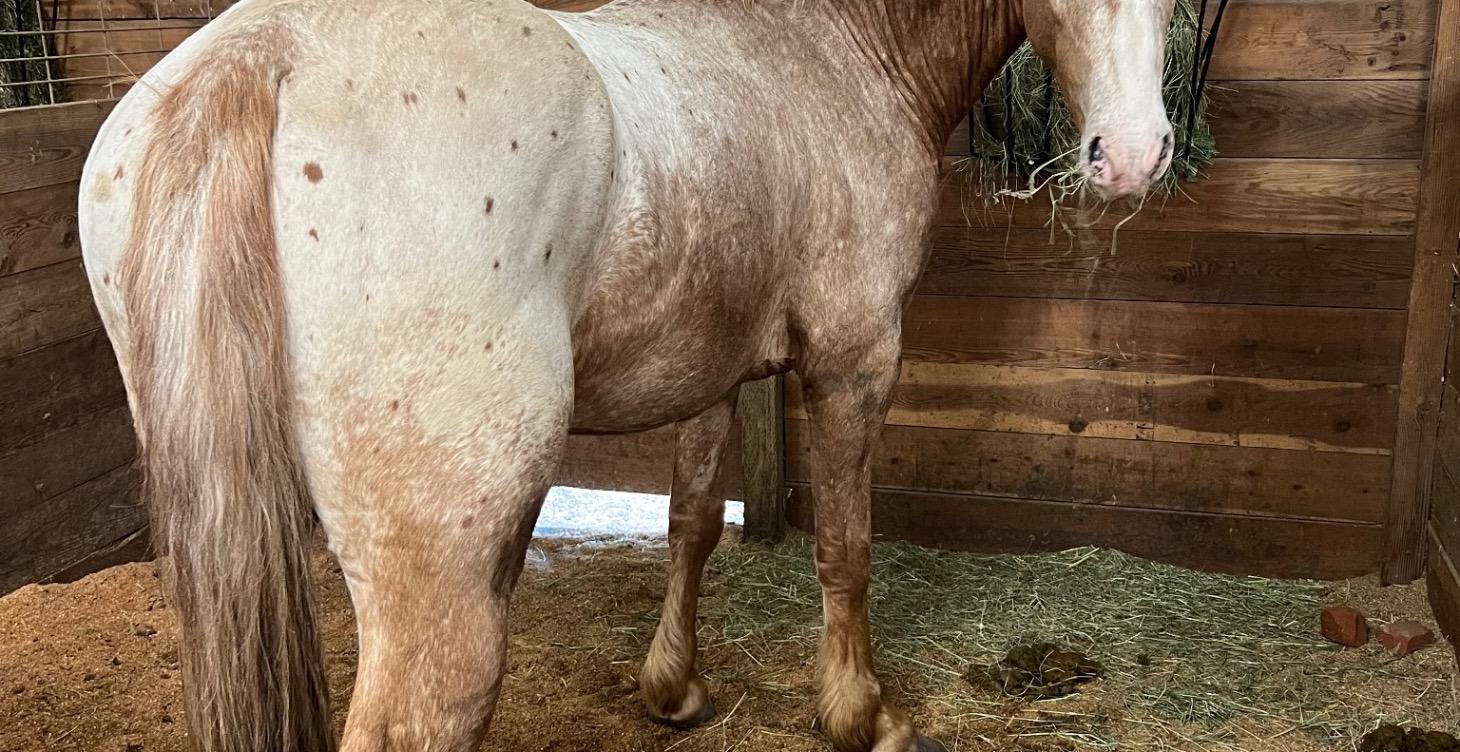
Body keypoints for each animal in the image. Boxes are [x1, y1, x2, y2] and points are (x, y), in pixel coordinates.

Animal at [77, 0, 1175, 749]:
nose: (1129, 156)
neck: (829, 54)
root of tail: (263, 56)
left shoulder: (710, 371)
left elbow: (690, 525)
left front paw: (672, 686)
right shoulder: (853, 363)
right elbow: (845, 549)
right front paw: (859, 713)